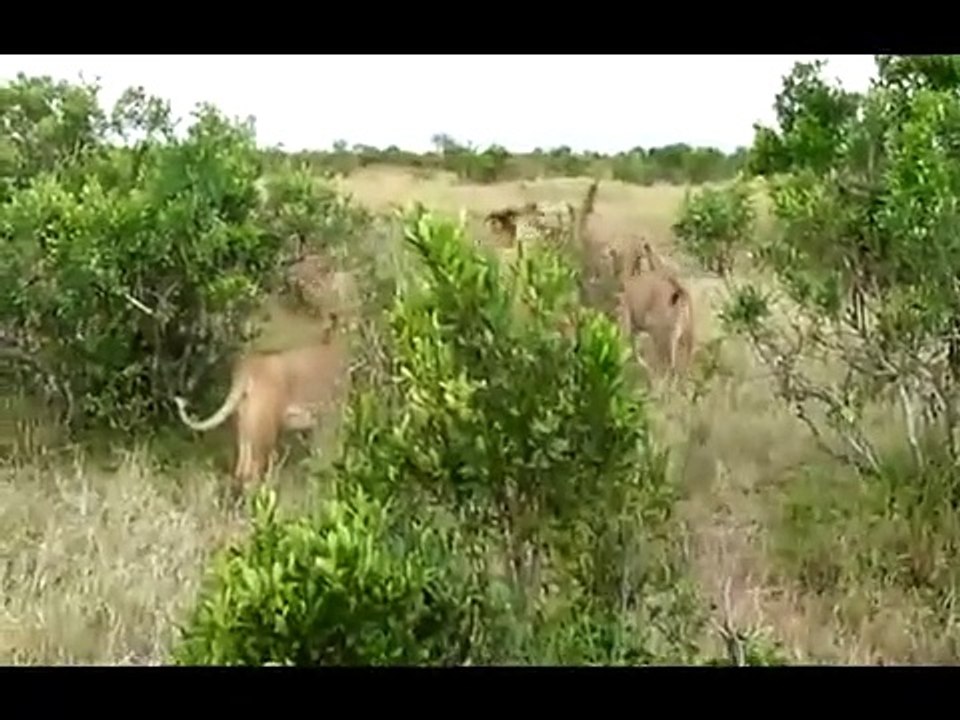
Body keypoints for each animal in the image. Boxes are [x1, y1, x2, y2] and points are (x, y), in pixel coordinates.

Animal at [173, 312, 351, 491]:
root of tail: (247, 368)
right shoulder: (329, 417)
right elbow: (325, 454)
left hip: (246, 430)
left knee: (241, 472)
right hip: (265, 431)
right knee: (254, 472)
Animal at [609, 240, 695, 375]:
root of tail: (680, 295)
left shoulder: (625, 317)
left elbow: (625, 342)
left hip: (663, 339)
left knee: (668, 366)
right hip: (685, 338)